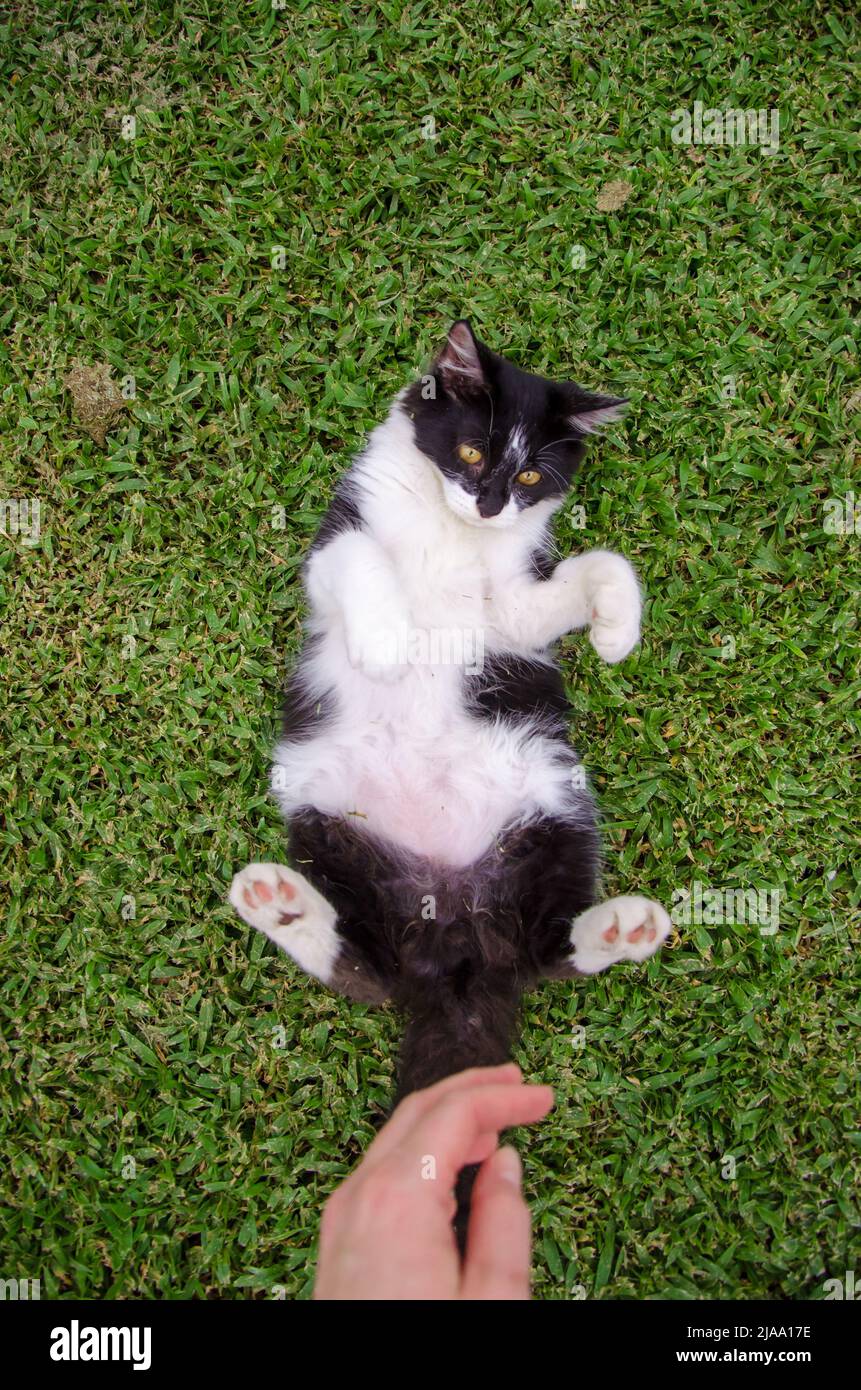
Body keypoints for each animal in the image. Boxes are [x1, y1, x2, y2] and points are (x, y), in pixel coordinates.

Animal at [229, 322, 673, 1239]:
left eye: (532, 476)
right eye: (471, 450)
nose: (492, 503)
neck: (450, 527)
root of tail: (458, 938)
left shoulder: (507, 609)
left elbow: (592, 567)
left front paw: (615, 631)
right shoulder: (339, 535)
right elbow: (357, 557)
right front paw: (387, 641)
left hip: (551, 810)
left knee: (540, 954)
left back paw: (619, 931)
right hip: (329, 820)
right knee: (372, 969)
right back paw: (283, 906)